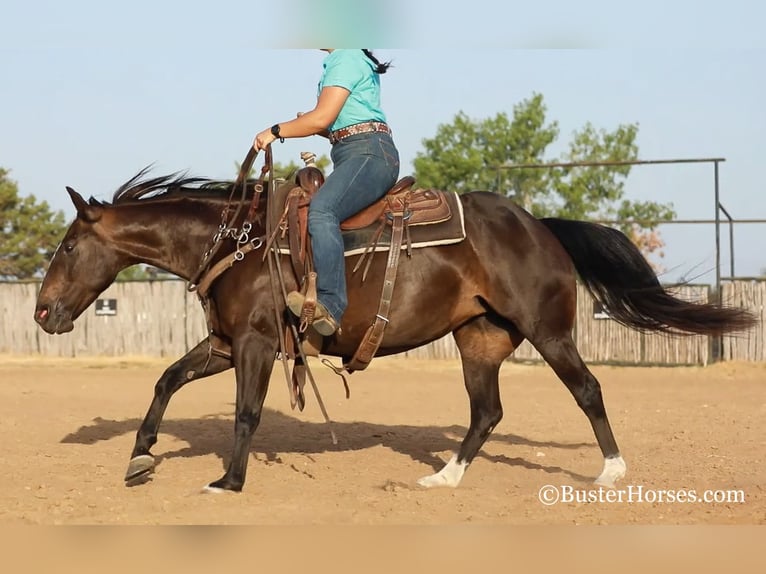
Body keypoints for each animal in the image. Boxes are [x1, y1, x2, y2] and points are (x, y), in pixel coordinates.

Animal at [34, 168, 756, 496]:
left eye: (68, 245)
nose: (42, 313)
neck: (240, 242)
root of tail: (540, 225)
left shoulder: (257, 344)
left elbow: (245, 413)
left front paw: (227, 482)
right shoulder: (223, 344)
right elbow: (165, 381)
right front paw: (140, 456)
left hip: (548, 333)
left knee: (587, 390)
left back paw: (611, 471)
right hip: (479, 339)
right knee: (487, 411)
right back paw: (445, 478)